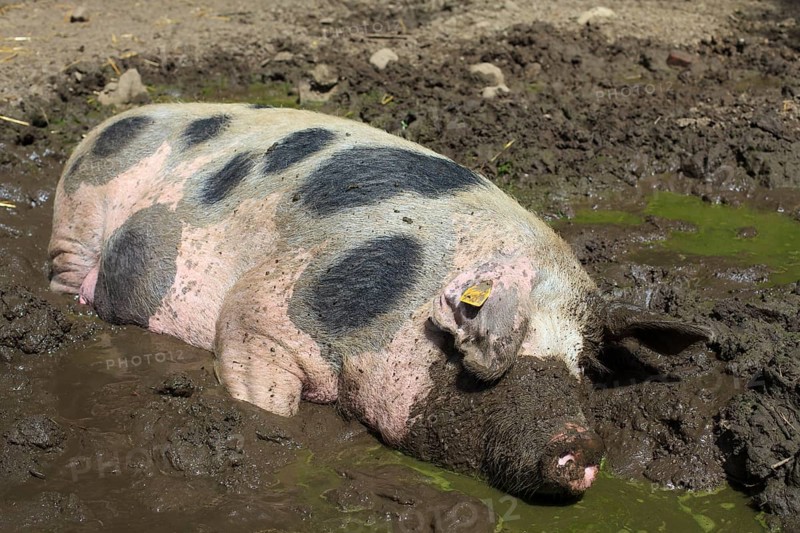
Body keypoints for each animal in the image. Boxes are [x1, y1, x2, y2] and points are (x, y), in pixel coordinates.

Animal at [48, 103, 710, 499]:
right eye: (492, 341)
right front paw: (267, 426)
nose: (584, 443)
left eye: (580, 364)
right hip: (79, 213)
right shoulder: (259, 309)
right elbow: (263, 389)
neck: (400, 302)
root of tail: (113, 118)